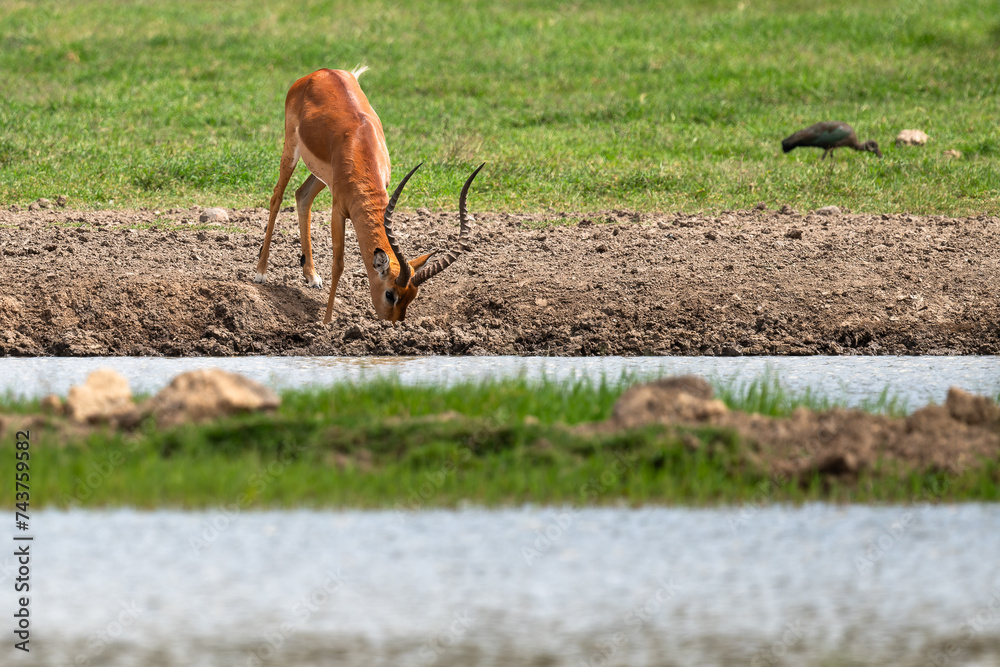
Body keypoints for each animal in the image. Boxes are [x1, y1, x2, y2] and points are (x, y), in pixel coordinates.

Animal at [254, 66, 484, 322]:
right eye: (390, 294)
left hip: (320, 176)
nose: (393, 323)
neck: (360, 145)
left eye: (412, 296)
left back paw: (312, 276)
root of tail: (322, 72)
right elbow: (339, 264)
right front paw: (326, 321)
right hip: (291, 149)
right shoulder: (338, 209)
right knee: (277, 197)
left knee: (302, 196)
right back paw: (261, 273)